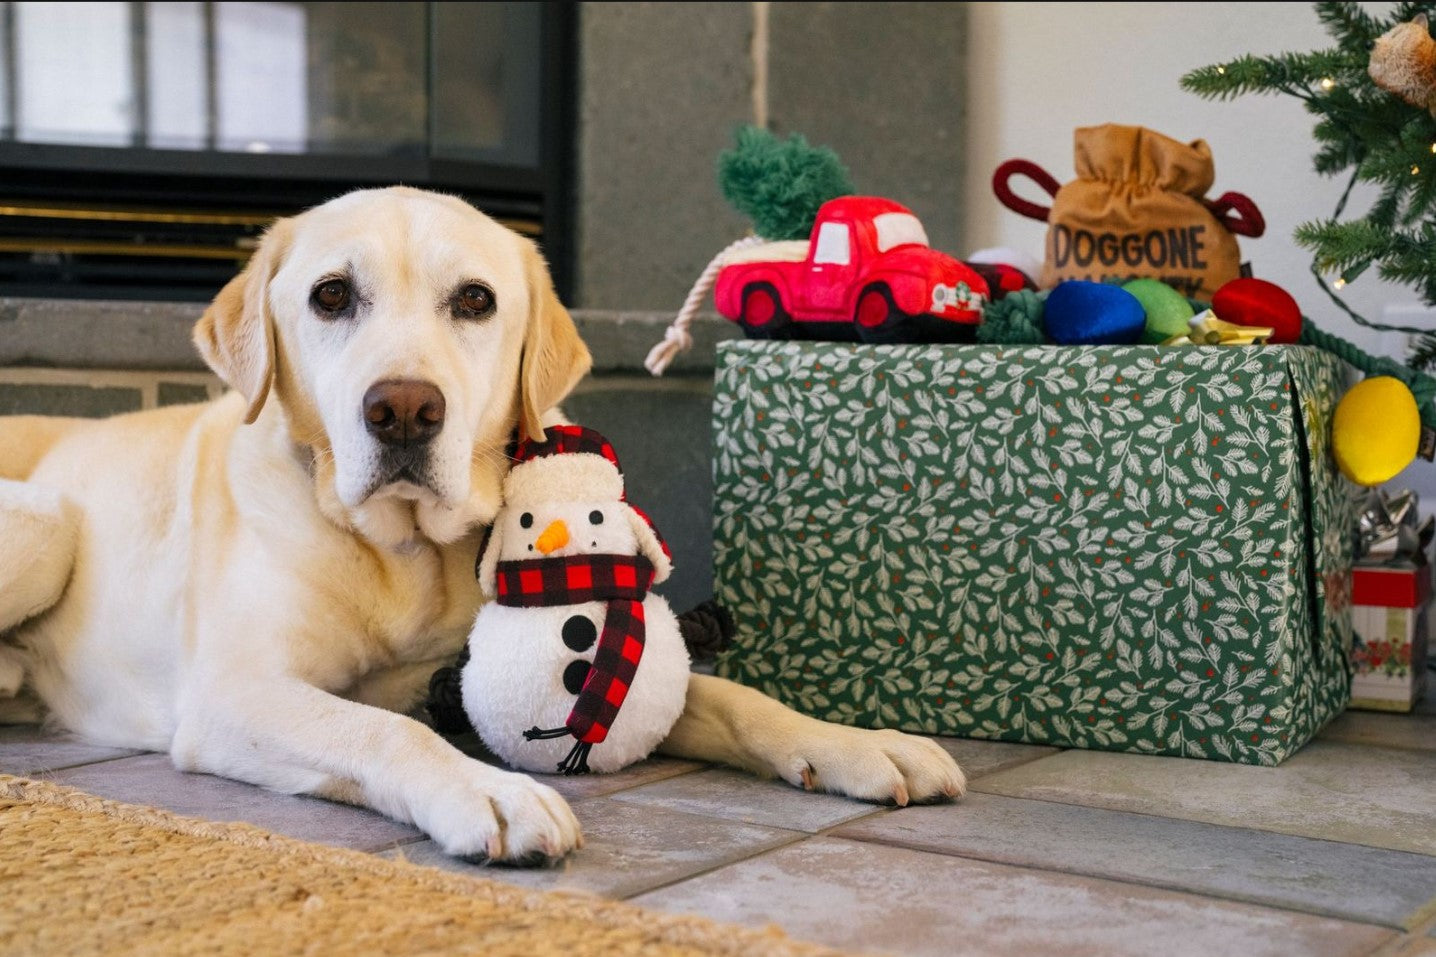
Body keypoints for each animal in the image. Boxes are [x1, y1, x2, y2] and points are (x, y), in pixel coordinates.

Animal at [2, 183, 964, 856]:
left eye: (473, 299)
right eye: (329, 296)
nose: (402, 411)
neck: (404, 553)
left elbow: (728, 693)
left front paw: (856, 742)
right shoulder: (236, 691)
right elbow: (380, 724)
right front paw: (489, 792)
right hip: (45, 527)